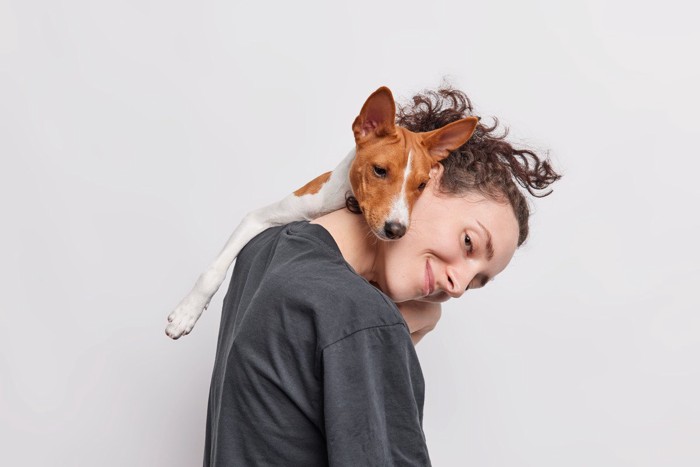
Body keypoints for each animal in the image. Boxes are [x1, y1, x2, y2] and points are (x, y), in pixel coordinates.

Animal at [167, 86, 478, 338]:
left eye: (422, 185)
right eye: (380, 170)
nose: (396, 230)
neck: (339, 202)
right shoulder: (259, 216)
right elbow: (212, 272)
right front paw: (186, 313)